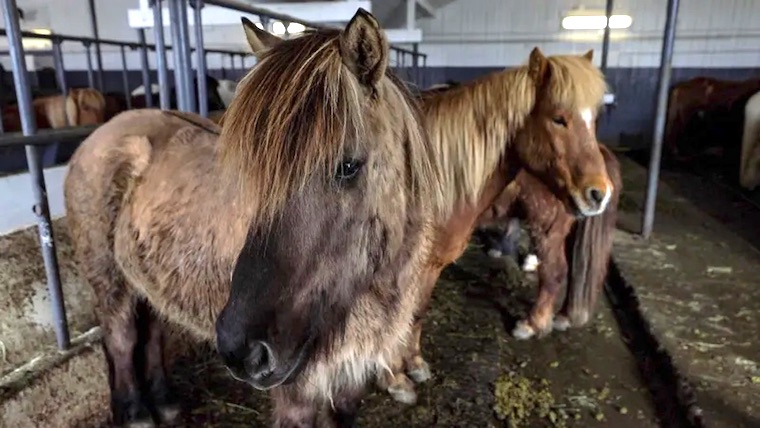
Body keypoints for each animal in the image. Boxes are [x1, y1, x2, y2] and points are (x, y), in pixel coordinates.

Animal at [64, 9, 447, 427]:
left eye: (348, 166)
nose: (241, 350)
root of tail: (101, 133)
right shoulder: (296, 394)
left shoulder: (350, 380)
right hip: (109, 279)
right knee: (121, 337)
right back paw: (135, 412)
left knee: (151, 334)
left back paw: (164, 402)